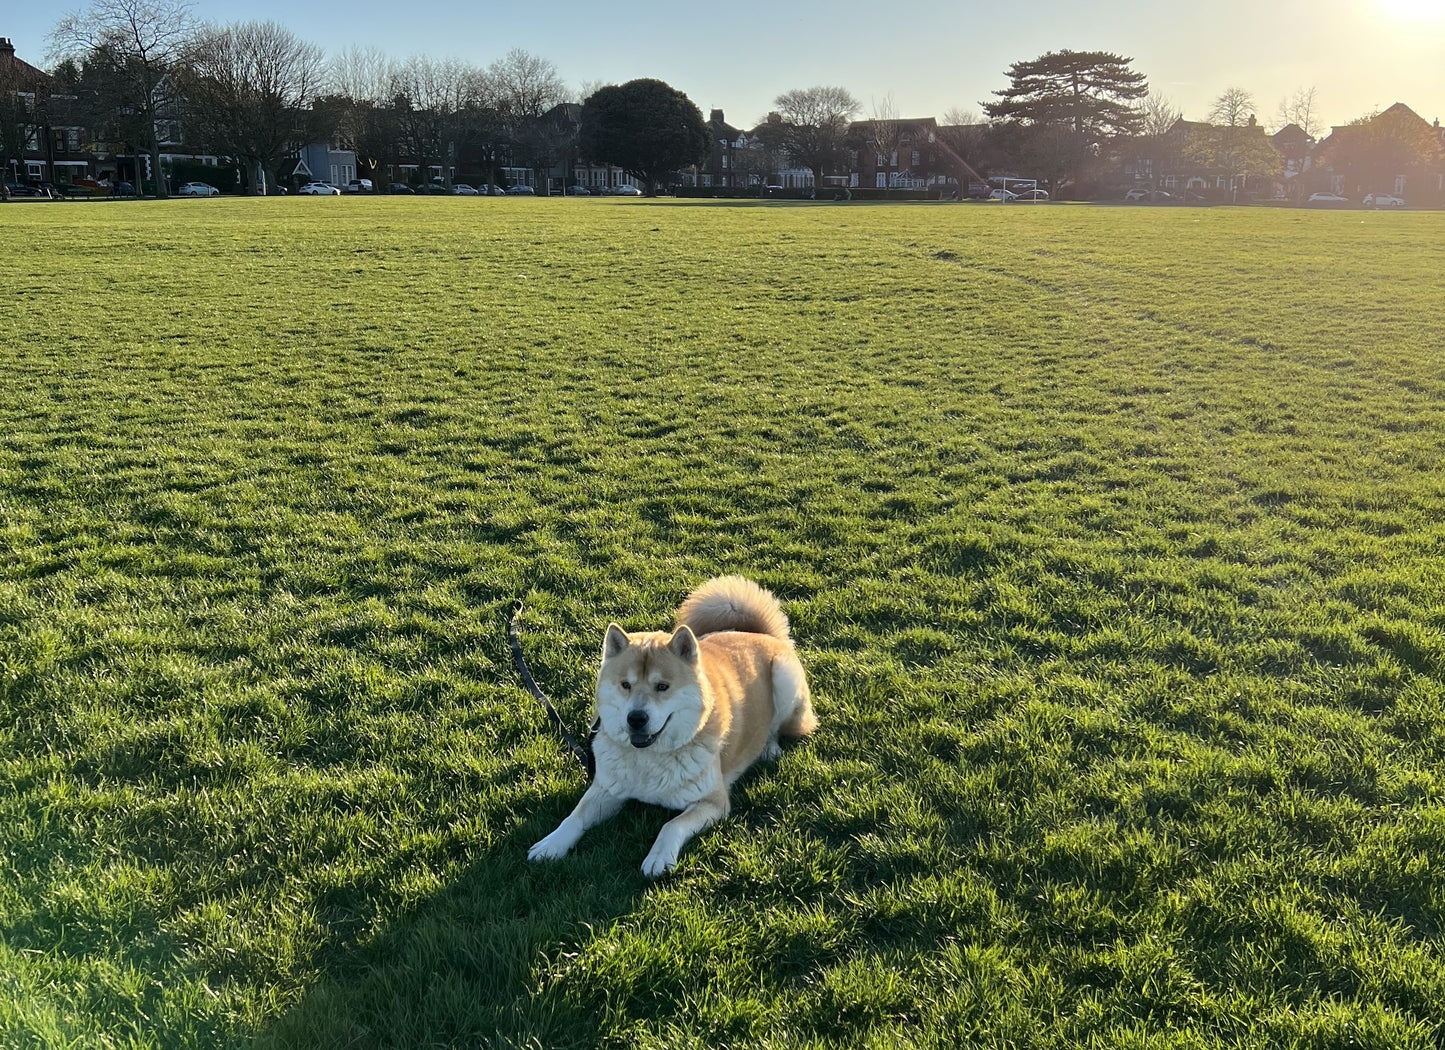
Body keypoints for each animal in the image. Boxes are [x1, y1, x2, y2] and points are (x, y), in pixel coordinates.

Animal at [531, 574, 826, 878]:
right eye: (625, 685)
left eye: (663, 687)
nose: (636, 718)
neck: (649, 759)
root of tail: (763, 635)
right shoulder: (607, 789)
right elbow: (574, 816)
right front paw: (551, 844)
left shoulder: (713, 802)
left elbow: (671, 825)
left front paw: (659, 856)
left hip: (783, 679)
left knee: (780, 726)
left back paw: (769, 747)